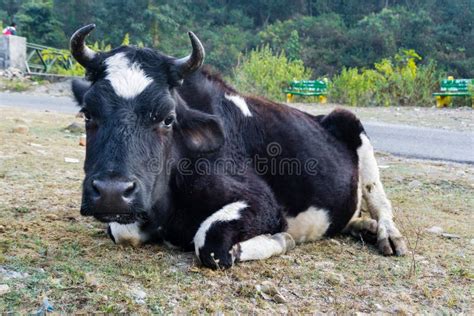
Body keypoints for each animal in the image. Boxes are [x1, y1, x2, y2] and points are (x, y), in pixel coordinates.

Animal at [69, 24, 408, 270]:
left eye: (168, 118)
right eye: (87, 113)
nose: (112, 192)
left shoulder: (264, 205)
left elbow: (210, 243)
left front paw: (283, 240)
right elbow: (123, 233)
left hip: (352, 124)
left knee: (379, 198)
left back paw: (387, 234)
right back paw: (364, 226)